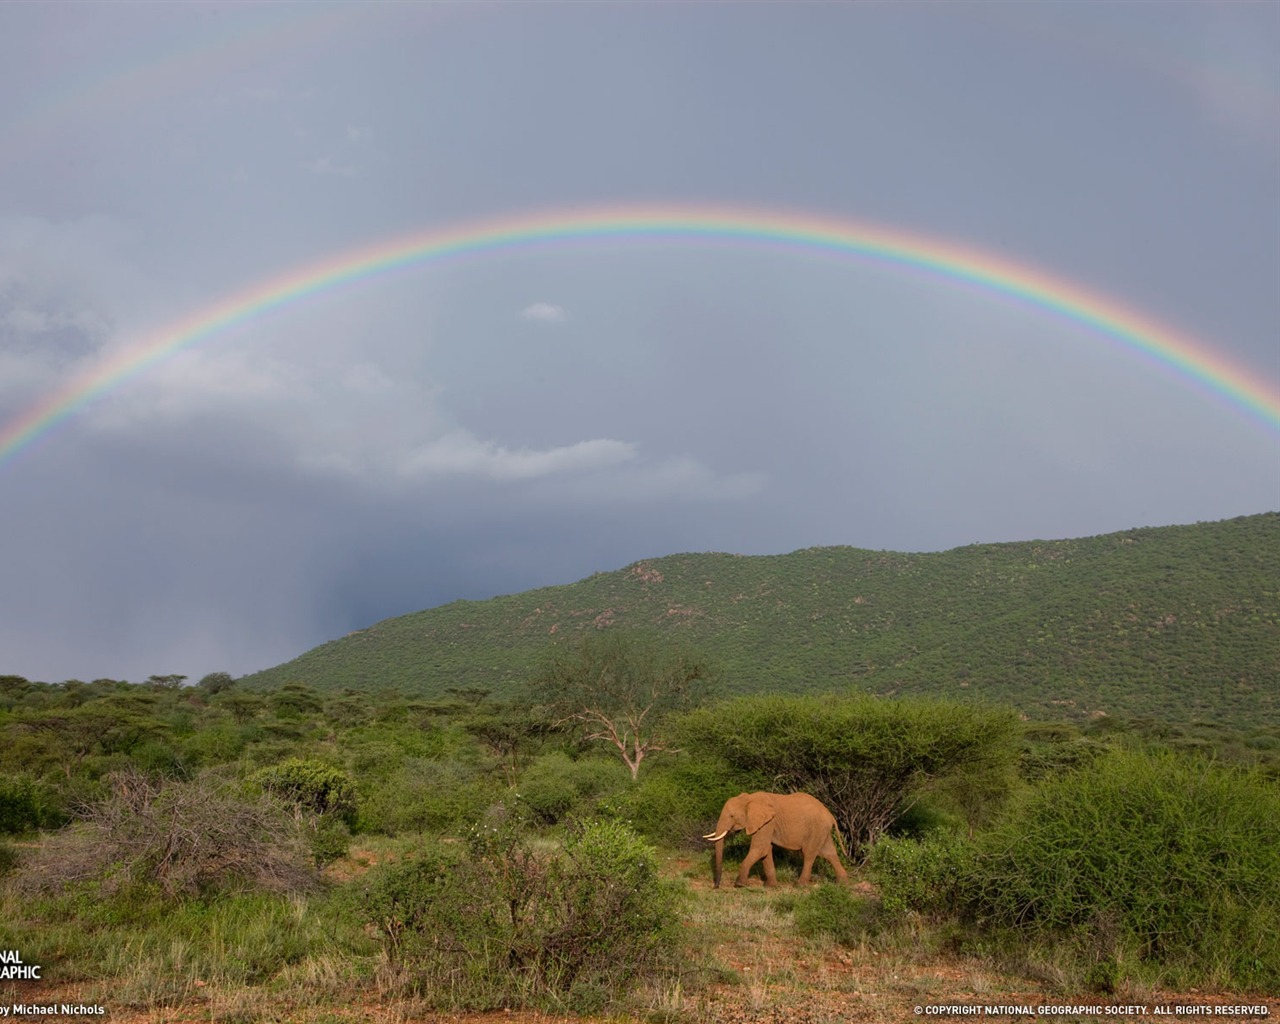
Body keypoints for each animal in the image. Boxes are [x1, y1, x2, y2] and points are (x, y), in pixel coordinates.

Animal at [701, 793, 849, 885]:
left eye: (731, 816)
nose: (716, 886)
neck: (749, 798)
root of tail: (831, 816)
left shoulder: (767, 823)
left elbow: (760, 849)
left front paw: (739, 884)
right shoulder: (766, 824)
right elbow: (765, 851)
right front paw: (771, 886)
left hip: (816, 828)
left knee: (809, 854)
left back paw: (799, 885)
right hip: (822, 830)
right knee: (829, 853)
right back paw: (842, 883)